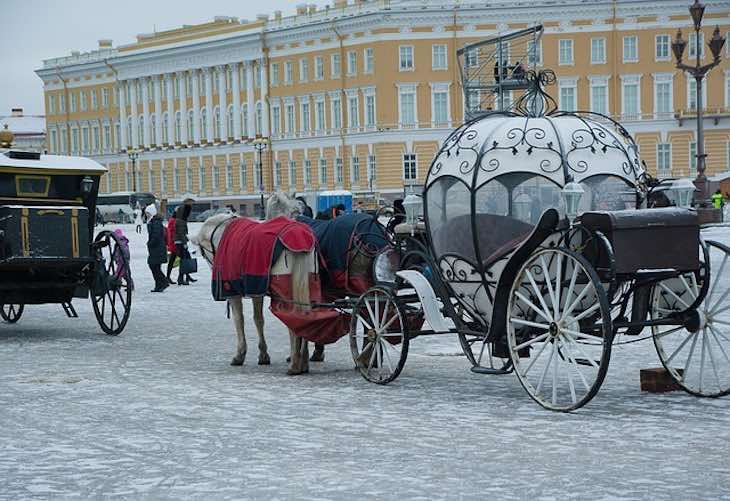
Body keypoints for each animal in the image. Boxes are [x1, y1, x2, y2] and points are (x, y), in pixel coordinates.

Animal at [193, 193, 316, 374]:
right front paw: (263, 354)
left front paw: (241, 354)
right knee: (306, 317)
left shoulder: (235, 291)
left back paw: (294, 364)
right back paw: (304, 361)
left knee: (293, 320)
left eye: (203, 252)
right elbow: (259, 319)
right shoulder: (257, 289)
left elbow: (241, 319)